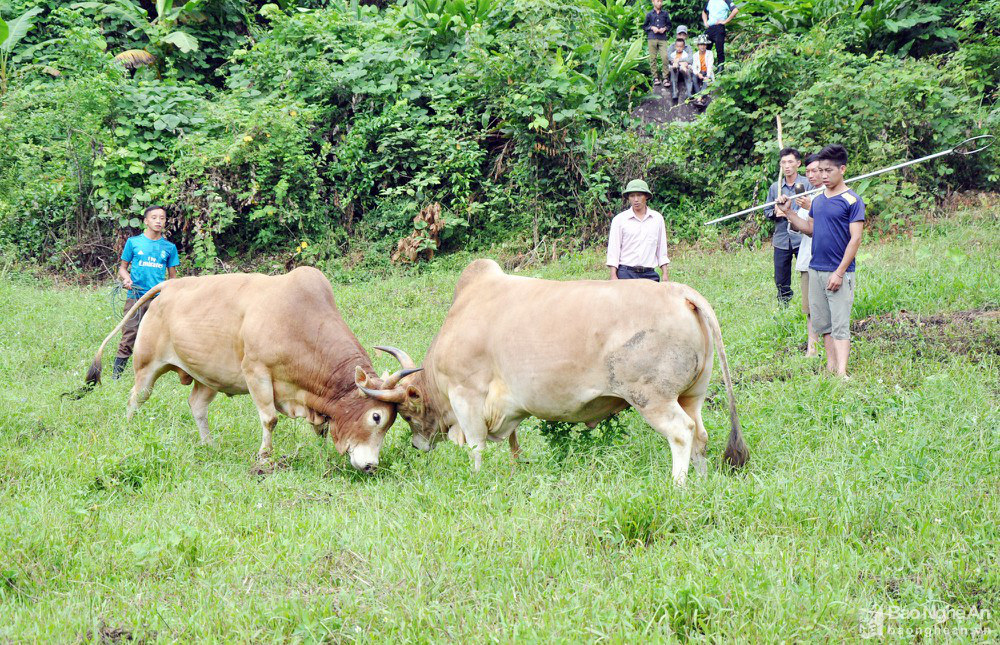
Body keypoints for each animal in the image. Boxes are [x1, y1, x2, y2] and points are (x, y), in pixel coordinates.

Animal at [81, 266, 418, 472]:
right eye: (376, 417)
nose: (371, 465)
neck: (299, 321)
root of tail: (169, 285)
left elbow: (320, 428)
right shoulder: (257, 372)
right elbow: (270, 420)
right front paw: (264, 459)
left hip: (209, 377)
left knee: (197, 404)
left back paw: (209, 444)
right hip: (147, 365)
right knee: (136, 397)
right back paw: (129, 428)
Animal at [356, 256, 748, 484]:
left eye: (407, 414)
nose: (418, 445)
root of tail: (682, 293)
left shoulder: (467, 396)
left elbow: (476, 447)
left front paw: (476, 478)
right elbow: (512, 444)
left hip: (653, 398)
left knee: (682, 433)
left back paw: (678, 485)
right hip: (691, 395)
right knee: (701, 435)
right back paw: (701, 482)